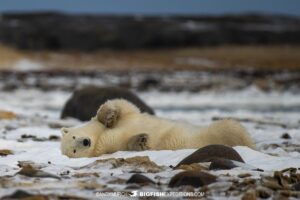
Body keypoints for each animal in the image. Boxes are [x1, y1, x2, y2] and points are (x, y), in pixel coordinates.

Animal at [61, 99, 255, 158]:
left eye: (73, 137)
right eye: (73, 151)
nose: (85, 142)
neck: (97, 136)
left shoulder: (129, 116)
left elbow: (123, 106)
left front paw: (109, 116)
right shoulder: (107, 147)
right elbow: (124, 144)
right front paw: (141, 140)